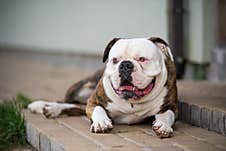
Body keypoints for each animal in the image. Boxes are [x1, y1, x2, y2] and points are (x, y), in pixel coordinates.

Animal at [27, 36, 177, 138]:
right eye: (115, 60)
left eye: (142, 59)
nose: (125, 65)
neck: (132, 102)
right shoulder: (93, 101)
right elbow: (98, 110)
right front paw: (101, 123)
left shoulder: (171, 106)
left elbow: (167, 115)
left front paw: (163, 126)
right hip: (79, 89)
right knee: (68, 102)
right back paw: (45, 106)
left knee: (76, 106)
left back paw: (50, 109)